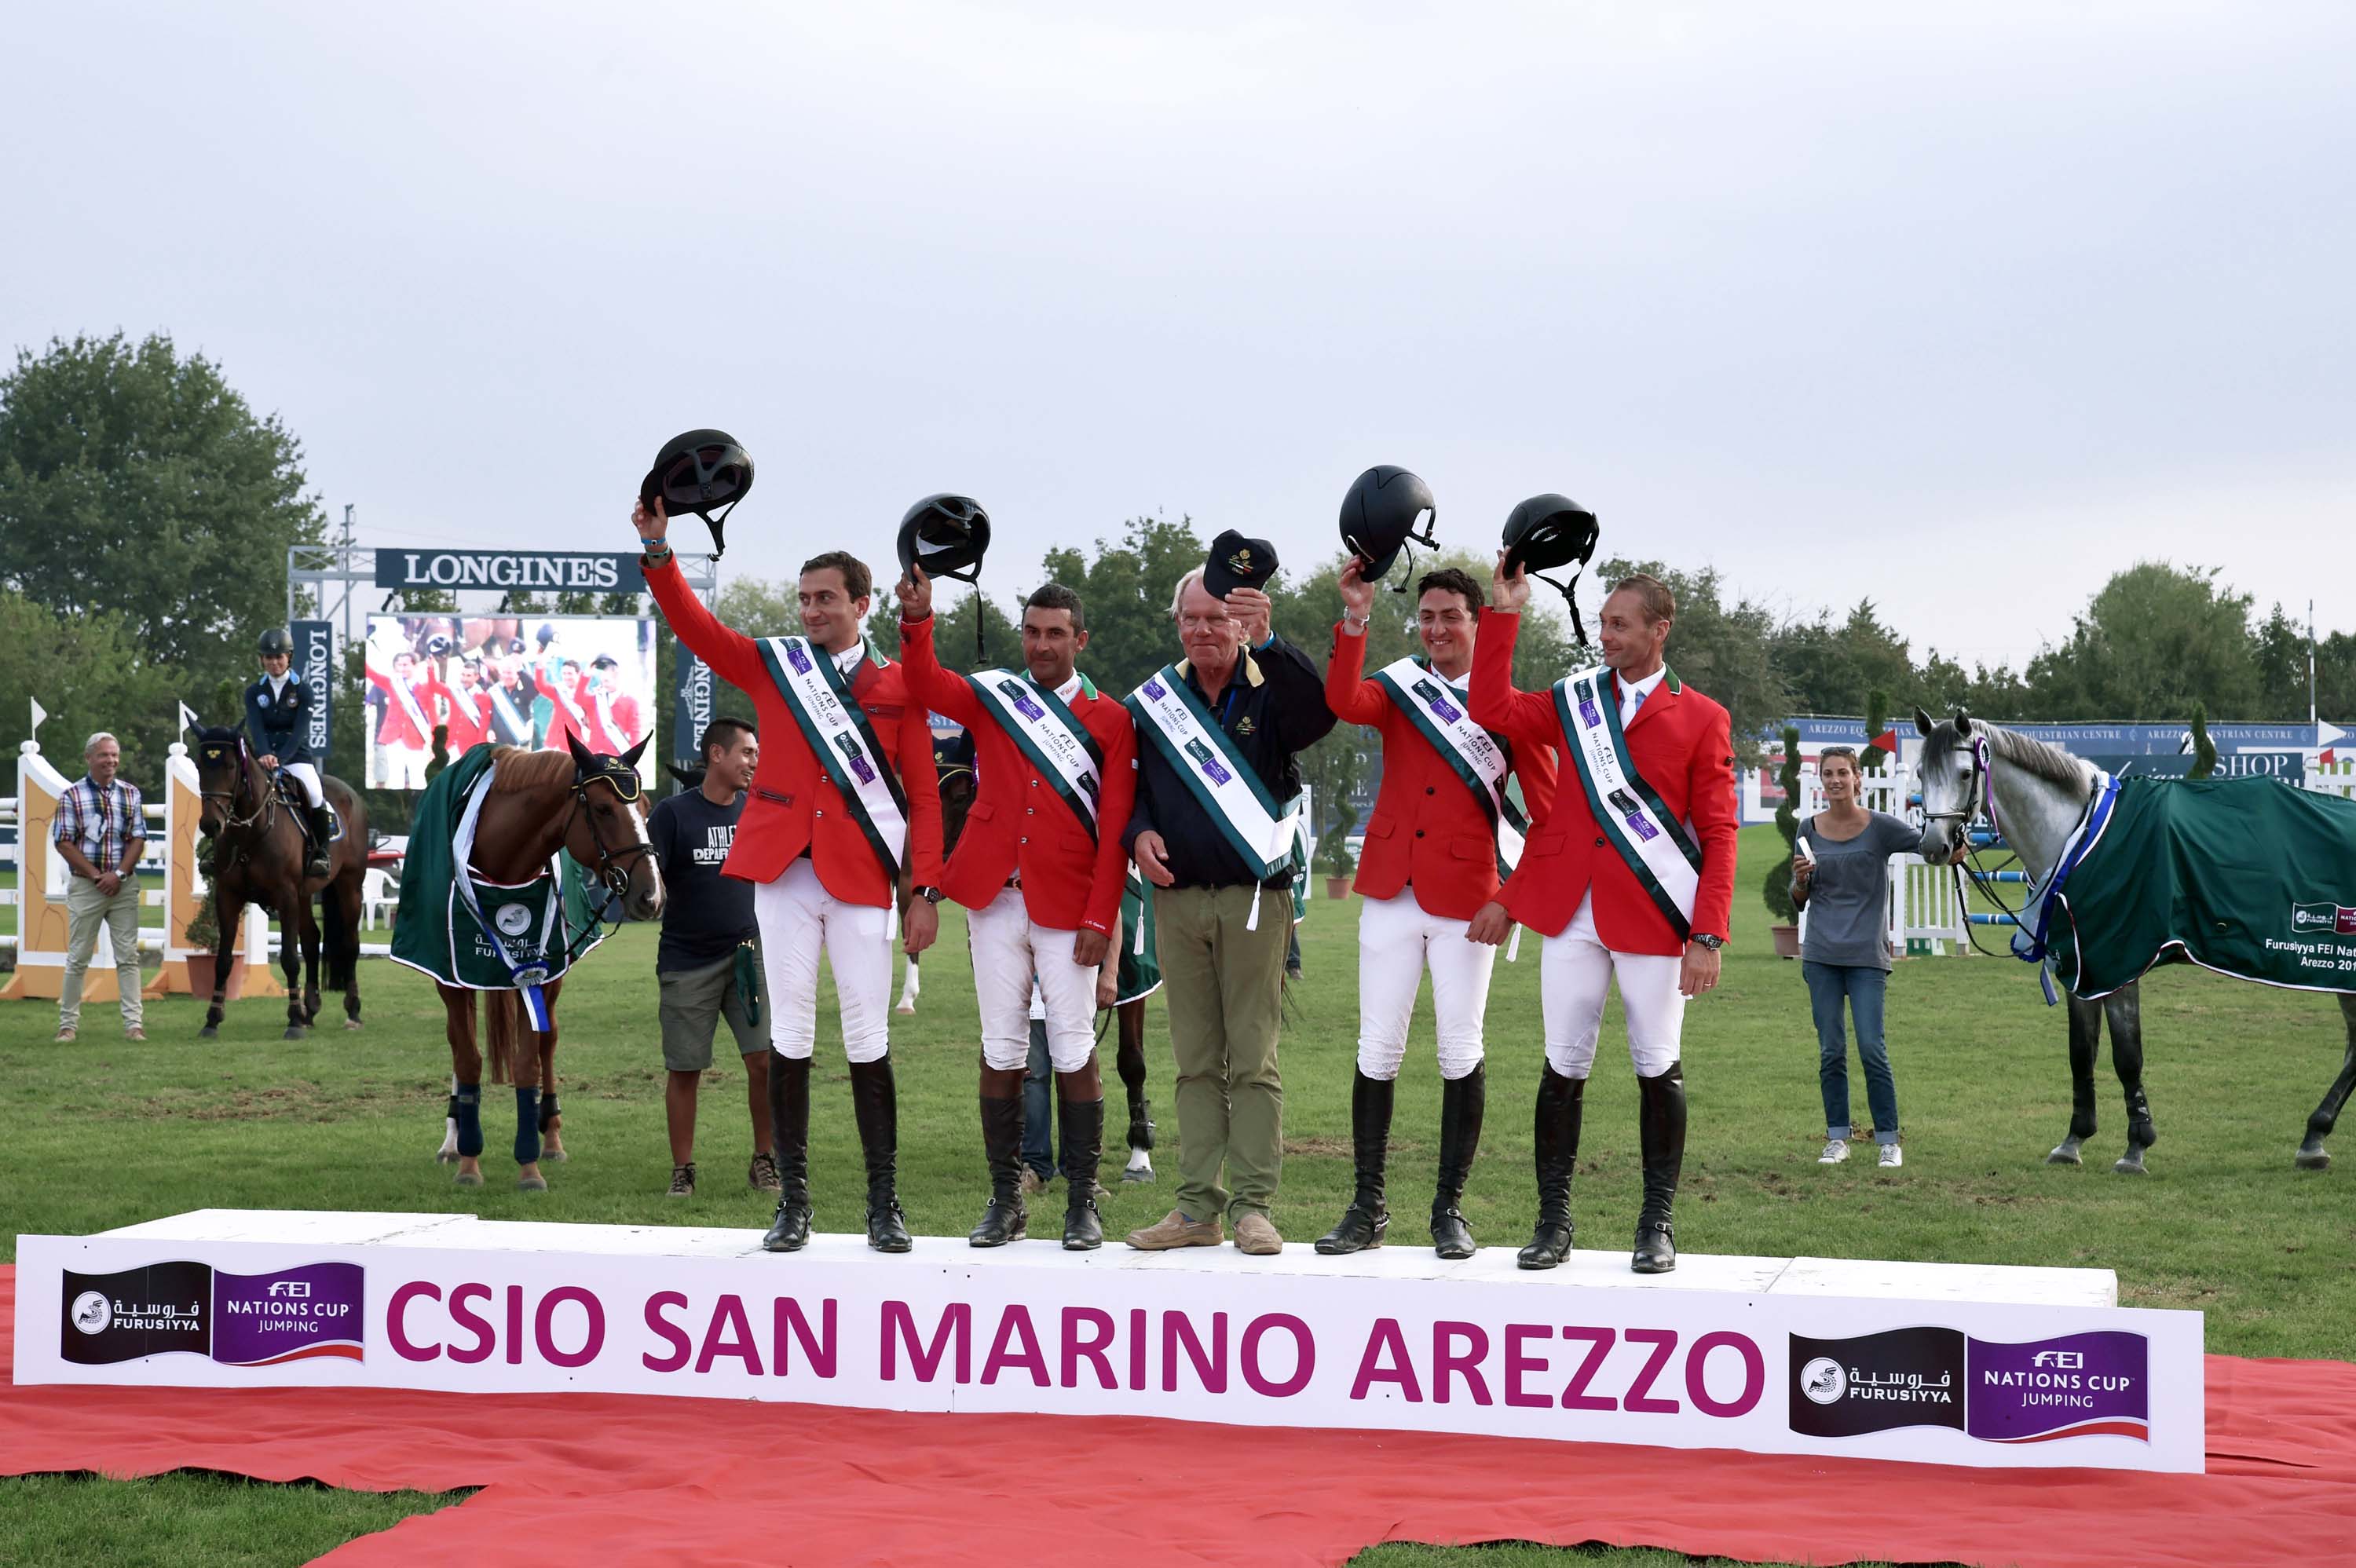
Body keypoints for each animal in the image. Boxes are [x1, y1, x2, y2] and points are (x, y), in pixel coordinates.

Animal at [193, 725, 368, 1036]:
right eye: (200, 765)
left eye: (231, 766)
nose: (210, 824)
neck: (250, 831)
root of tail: (351, 794)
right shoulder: (228, 896)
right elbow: (223, 961)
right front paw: (212, 1020)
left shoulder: (285, 896)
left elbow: (288, 958)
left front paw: (294, 1022)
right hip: (304, 895)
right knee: (311, 940)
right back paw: (311, 1008)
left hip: (349, 886)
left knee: (350, 944)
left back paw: (352, 1011)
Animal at [438, 734, 664, 1186]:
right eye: (603, 808)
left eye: (646, 807)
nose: (651, 896)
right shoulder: (450, 978)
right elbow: (467, 1058)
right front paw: (468, 1160)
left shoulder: (537, 974)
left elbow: (528, 1061)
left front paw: (529, 1165)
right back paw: (453, 1139)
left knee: (549, 1042)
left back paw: (552, 1136)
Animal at [1913, 706, 2356, 1172]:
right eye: (1922, 773)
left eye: (1965, 773)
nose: (1934, 847)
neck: (2080, 835)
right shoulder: (2081, 967)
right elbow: (2080, 1054)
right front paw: (2073, 1140)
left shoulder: (2117, 965)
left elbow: (2127, 1057)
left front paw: (2136, 1147)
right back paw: (2314, 1138)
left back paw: (2314, 1135)